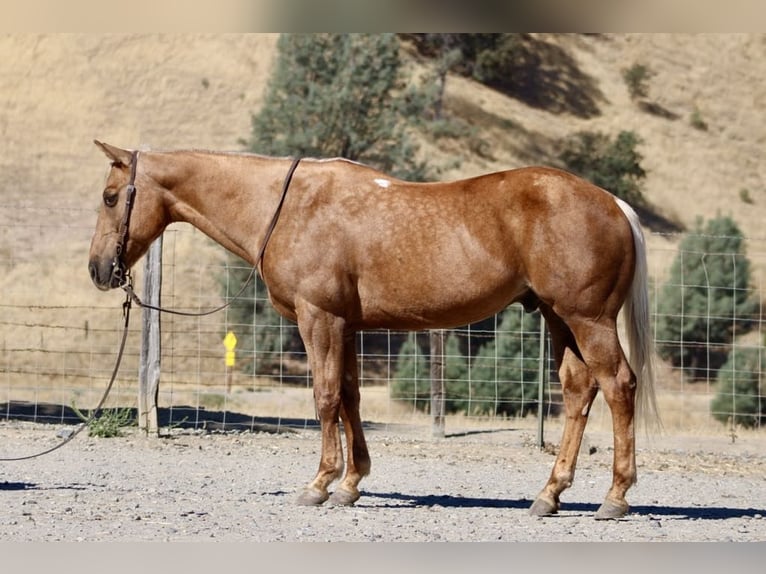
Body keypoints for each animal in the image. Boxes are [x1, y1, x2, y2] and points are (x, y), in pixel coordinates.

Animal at [88, 141, 660, 520]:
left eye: (112, 196)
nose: (98, 269)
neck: (288, 206)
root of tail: (613, 203)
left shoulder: (318, 318)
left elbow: (323, 398)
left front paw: (319, 483)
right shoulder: (347, 325)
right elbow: (349, 397)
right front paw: (351, 483)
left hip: (587, 319)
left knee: (618, 386)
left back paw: (615, 497)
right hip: (559, 319)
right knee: (579, 391)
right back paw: (550, 494)